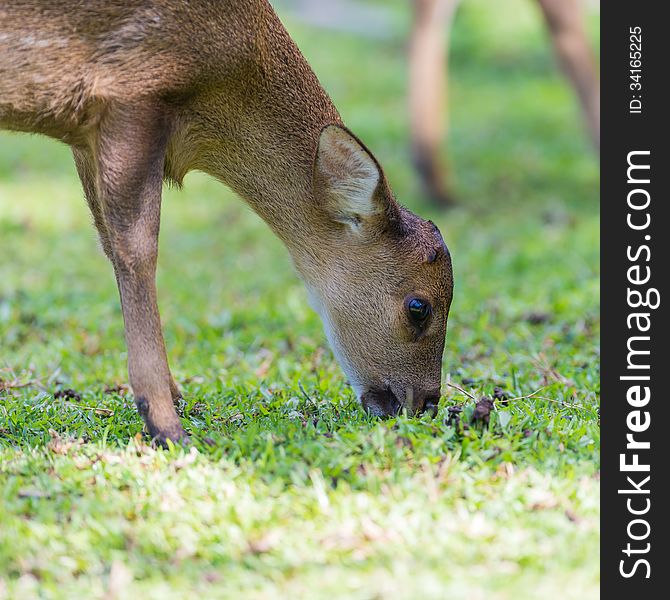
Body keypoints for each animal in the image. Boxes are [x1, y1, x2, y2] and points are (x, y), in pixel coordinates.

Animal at [1, 0, 456, 442]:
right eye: (419, 307)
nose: (426, 403)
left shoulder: (83, 134)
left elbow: (110, 245)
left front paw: (177, 398)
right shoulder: (129, 91)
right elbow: (137, 249)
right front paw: (167, 426)